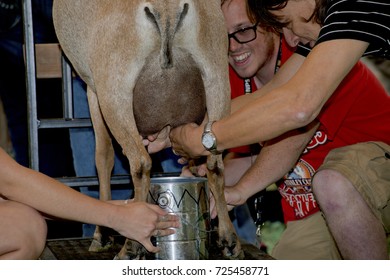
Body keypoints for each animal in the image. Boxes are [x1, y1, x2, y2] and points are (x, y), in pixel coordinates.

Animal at [51, 0, 241, 260]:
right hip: (217, 78)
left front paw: (102, 235)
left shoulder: (94, 88)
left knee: (140, 164)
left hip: (115, 91)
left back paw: (131, 247)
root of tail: (168, 10)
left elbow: (103, 157)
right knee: (215, 164)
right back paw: (229, 240)